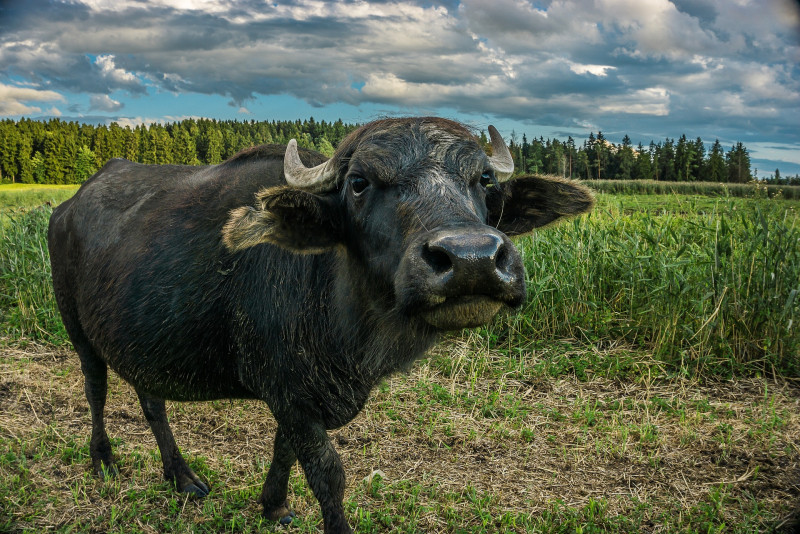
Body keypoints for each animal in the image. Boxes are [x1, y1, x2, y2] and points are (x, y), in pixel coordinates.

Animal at [48, 117, 594, 533]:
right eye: (360, 183)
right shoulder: (289, 392)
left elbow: (285, 449)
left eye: (483, 180)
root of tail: (68, 206)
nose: (471, 259)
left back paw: (181, 477)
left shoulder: (299, 395)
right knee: (96, 389)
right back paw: (103, 460)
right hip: (77, 328)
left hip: (142, 338)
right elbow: (327, 472)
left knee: (152, 401)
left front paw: (273, 505)